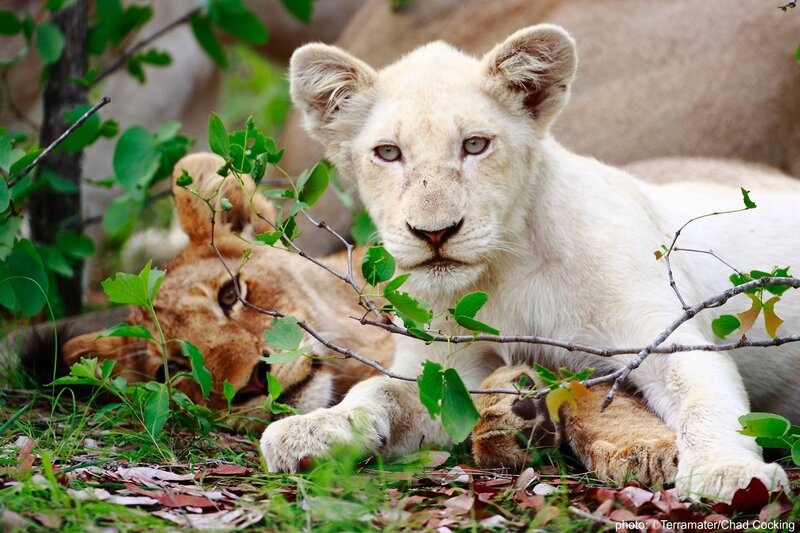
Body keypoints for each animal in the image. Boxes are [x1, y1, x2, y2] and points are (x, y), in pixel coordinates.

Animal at [262, 25, 800, 502]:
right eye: (389, 153)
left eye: (475, 145)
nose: (435, 233)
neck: (506, 271)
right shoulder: (445, 375)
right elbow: (377, 391)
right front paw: (310, 430)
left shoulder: (661, 336)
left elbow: (705, 402)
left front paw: (728, 473)